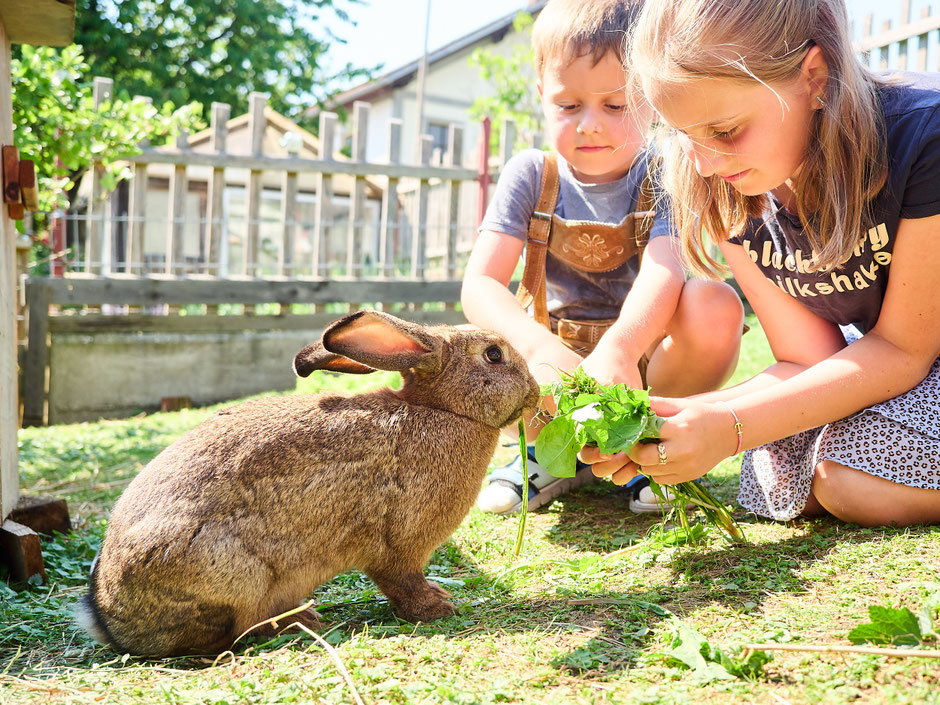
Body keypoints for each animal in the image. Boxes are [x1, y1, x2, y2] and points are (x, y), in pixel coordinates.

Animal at [75, 310, 540, 657]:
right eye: (494, 355)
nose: (535, 392)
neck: (443, 410)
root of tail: (108, 619)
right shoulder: (398, 545)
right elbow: (401, 581)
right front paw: (439, 607)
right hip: (235, 573)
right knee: (235, 630)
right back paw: (297, 622)